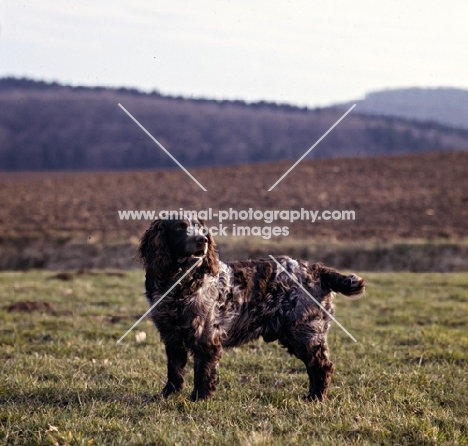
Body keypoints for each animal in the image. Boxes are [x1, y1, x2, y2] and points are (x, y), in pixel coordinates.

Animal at [137, 216, 364, 400]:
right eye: (179, 227)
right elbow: (174, 371)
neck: (179, 285)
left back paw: (315, 397)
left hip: (303, 332)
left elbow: (203, 373)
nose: (203, 240)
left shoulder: (207, 337)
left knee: (323, 366)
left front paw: (199, 399)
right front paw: (168, 395)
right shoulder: (172, 337)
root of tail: (317, 269)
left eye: (201, 228)